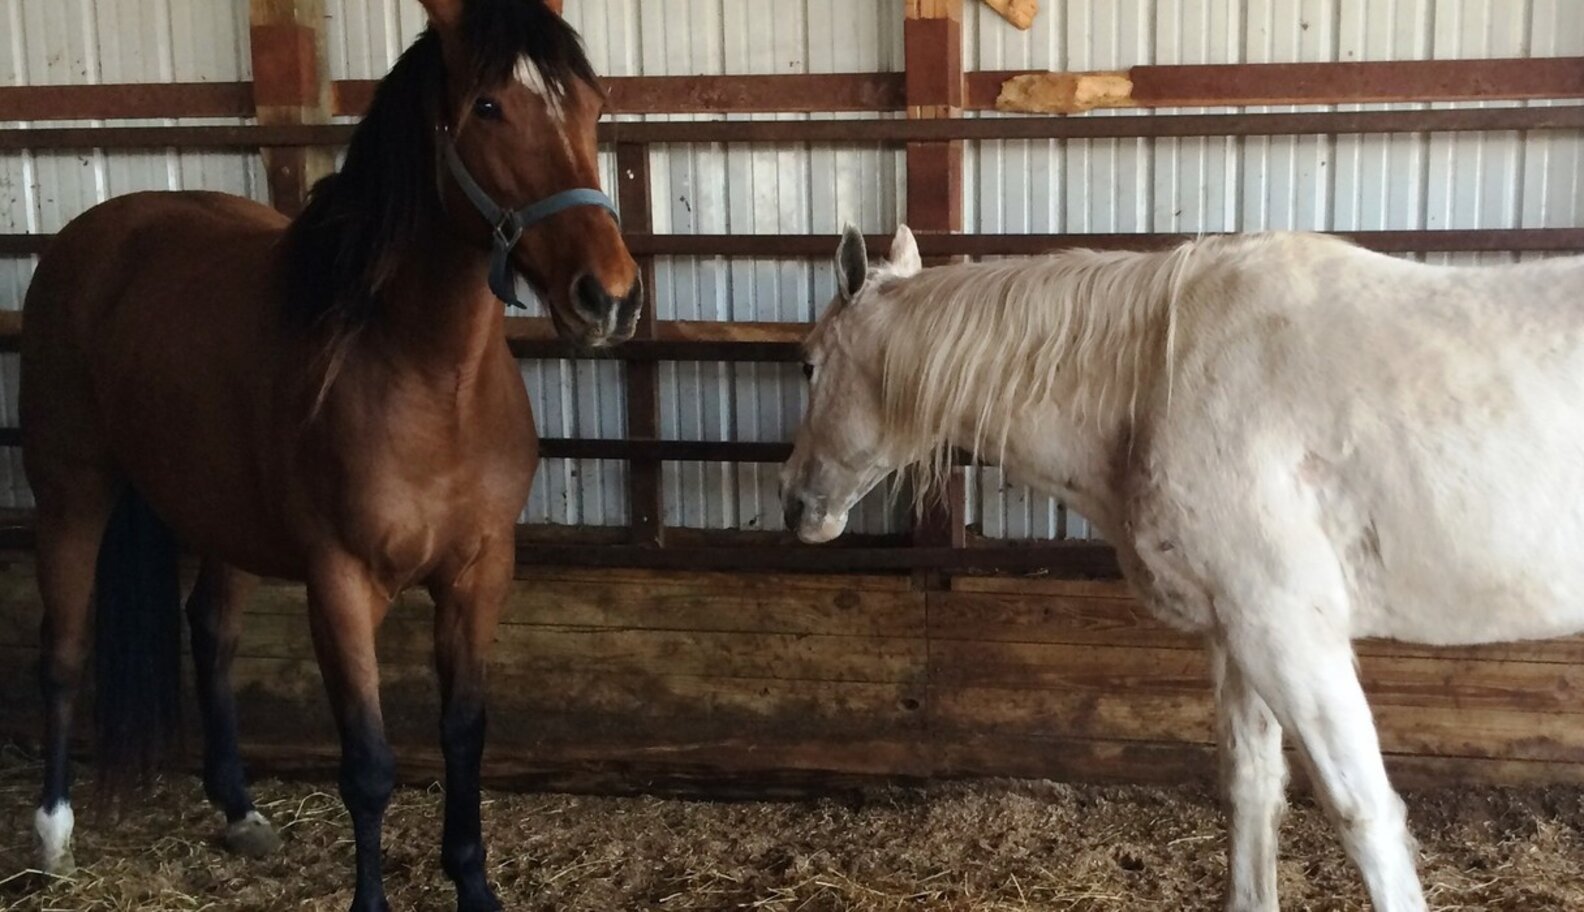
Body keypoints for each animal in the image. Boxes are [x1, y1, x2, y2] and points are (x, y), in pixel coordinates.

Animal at [21, 0, 638, 908]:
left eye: (592, 106)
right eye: (489, 107)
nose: (610, 297)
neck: (429, 377)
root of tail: (85, 239)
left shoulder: (479, 573)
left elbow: (464, 733)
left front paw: (474, 884)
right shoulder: (340, 584)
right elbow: (370, 766)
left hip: (222, 516)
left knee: (210, 631)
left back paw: (239, 810)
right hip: (71, 494)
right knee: (62, 655)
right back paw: (54, 834)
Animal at [781, 224, 1584, 912]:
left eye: (809, 363)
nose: (796, 506)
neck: (1158, 376)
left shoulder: (1287, 633)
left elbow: (1366, 816)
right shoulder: (1236, 634)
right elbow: (1252, 790)